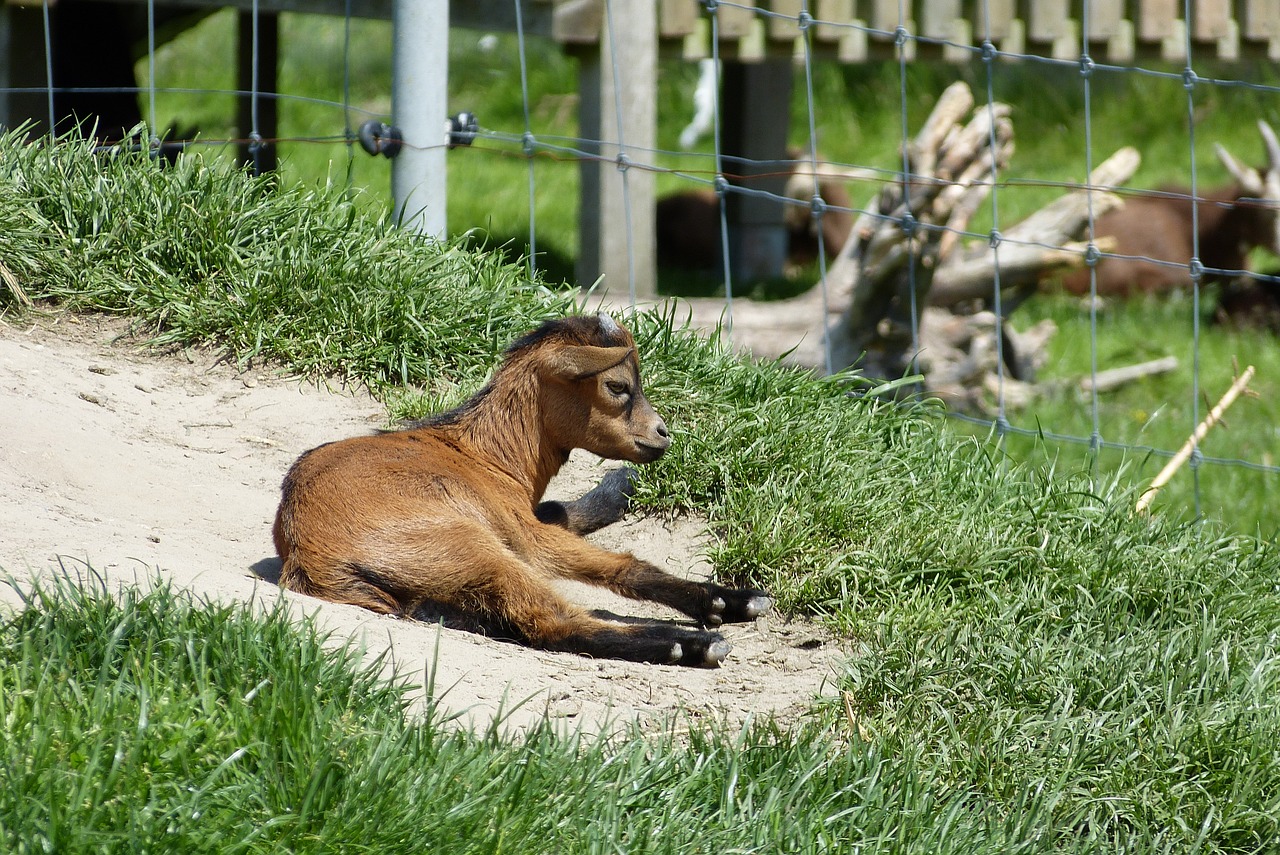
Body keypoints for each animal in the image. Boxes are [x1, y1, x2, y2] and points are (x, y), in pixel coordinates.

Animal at [272, 313, 768, 665]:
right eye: (618, 386)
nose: (662, 434)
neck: (490, 457)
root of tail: (310, 560)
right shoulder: (521, 532)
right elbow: (622, 565)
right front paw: (731, 600)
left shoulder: (526, 514)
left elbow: (561, 509)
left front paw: (620, 488)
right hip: (470, 547)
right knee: (551, 621)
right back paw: (689, 645)